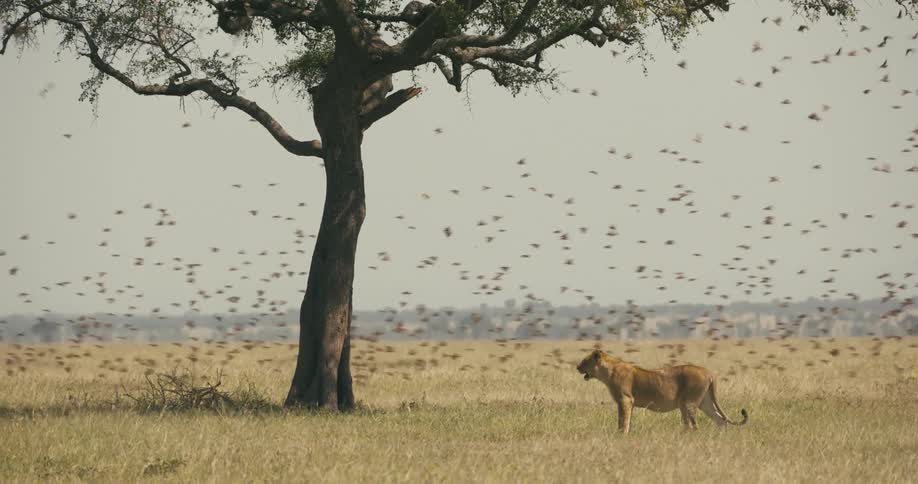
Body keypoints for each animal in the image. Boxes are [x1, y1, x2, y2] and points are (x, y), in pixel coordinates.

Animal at [576, 349, 748, 433]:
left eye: (584, 361)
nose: (577, 367)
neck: (607, 371)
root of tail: (710, 373)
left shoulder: (625, 399)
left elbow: (623, 420)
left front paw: (621, 435)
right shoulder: (627, 402)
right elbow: (627, 420)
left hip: (689, 403)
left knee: (694, 425)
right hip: (704, 402)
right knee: (720, 420)